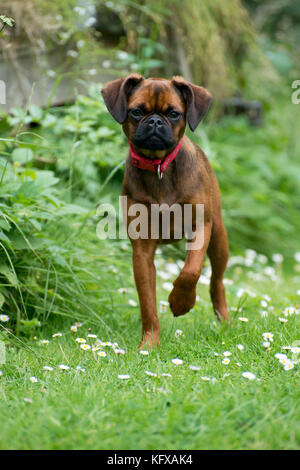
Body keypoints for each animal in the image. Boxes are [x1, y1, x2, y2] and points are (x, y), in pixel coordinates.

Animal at [102, 71, 229, 346]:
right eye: (137, 112)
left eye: (173, 114)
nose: (154, 122)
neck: (159, 167)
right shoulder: (142, 252)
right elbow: (147, 303)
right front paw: (149, 344)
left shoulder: (200, 227)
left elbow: (191, 271)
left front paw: (181, 302)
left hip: (218, 238)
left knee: (216, 281)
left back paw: (226, 322)